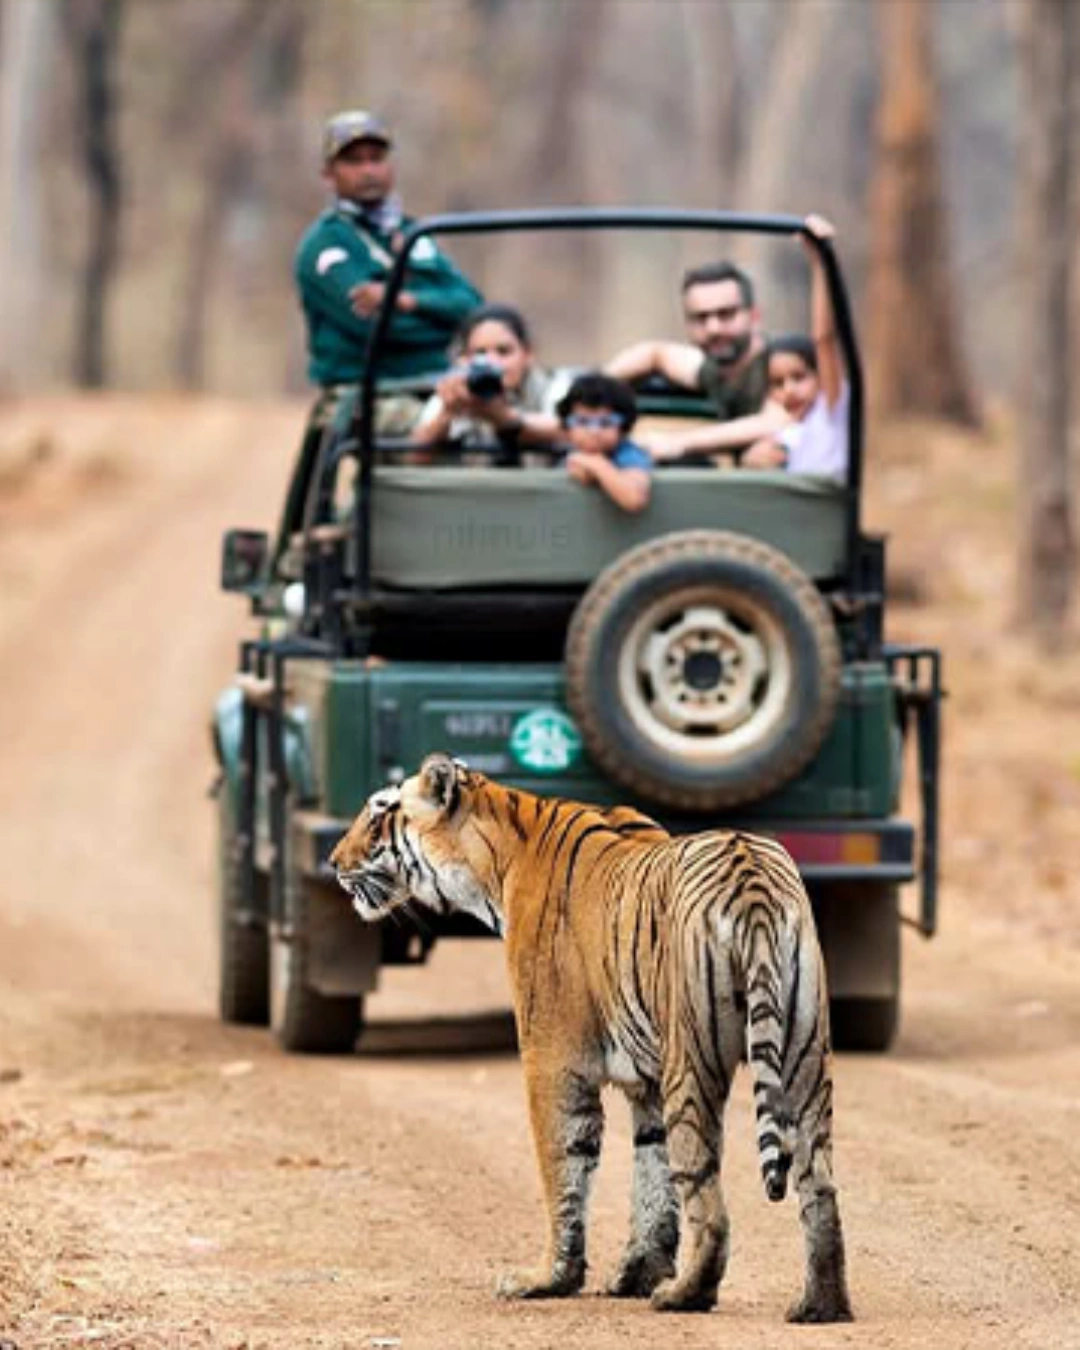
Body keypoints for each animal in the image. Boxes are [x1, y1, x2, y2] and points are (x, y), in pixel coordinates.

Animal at [330, 752, 852, 1324]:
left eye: (379, 812)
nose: (333, 862)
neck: (492, 859)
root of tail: (751, 874)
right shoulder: (646, 1084)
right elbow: (651, 1180)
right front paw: (635, 1275)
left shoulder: (553, 1060)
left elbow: (564, 1167)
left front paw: (549, 1279)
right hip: (805, 1058)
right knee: (819, 1184)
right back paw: (820, 1304)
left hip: (692, 1062)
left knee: (707, 1194)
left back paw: (686, 1295)